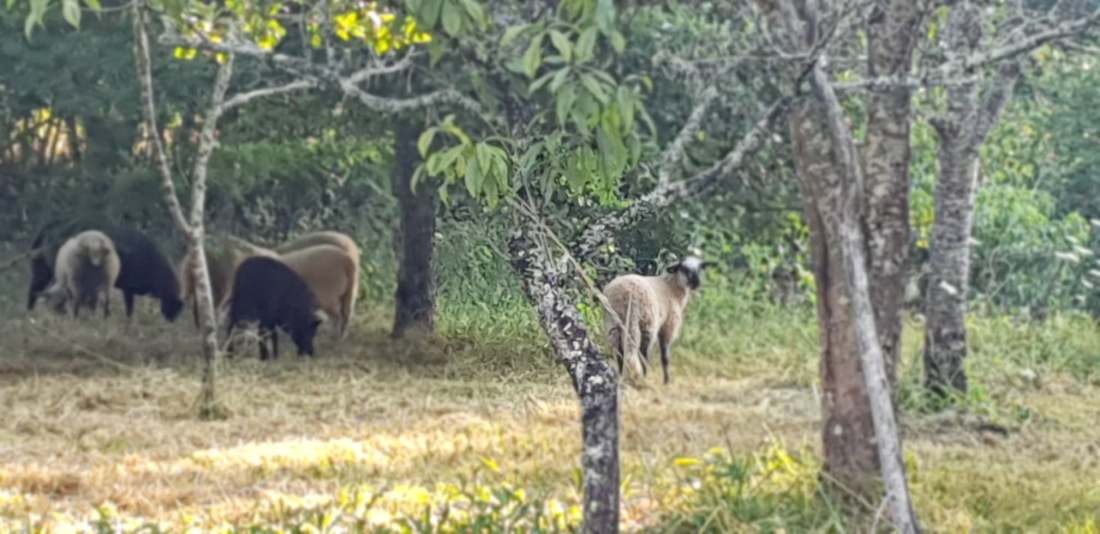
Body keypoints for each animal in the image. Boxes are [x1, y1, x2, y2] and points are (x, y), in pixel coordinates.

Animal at [28, 218, 184, 322]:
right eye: (175, 306)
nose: (171, 321)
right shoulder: (128, 288)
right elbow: (129, 308)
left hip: (42, 270)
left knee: (34, 291)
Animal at [602, 256, 711, 385]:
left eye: (700, 268)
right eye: (684, 269)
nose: (696, 282)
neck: (672, 287)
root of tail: (627, 293)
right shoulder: (669, 325)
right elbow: (665, 355)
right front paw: (667, 381)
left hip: (614, 322)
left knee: (619, 352)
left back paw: (621, 377)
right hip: (647, 322)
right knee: (643, 352)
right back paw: (644, 377)